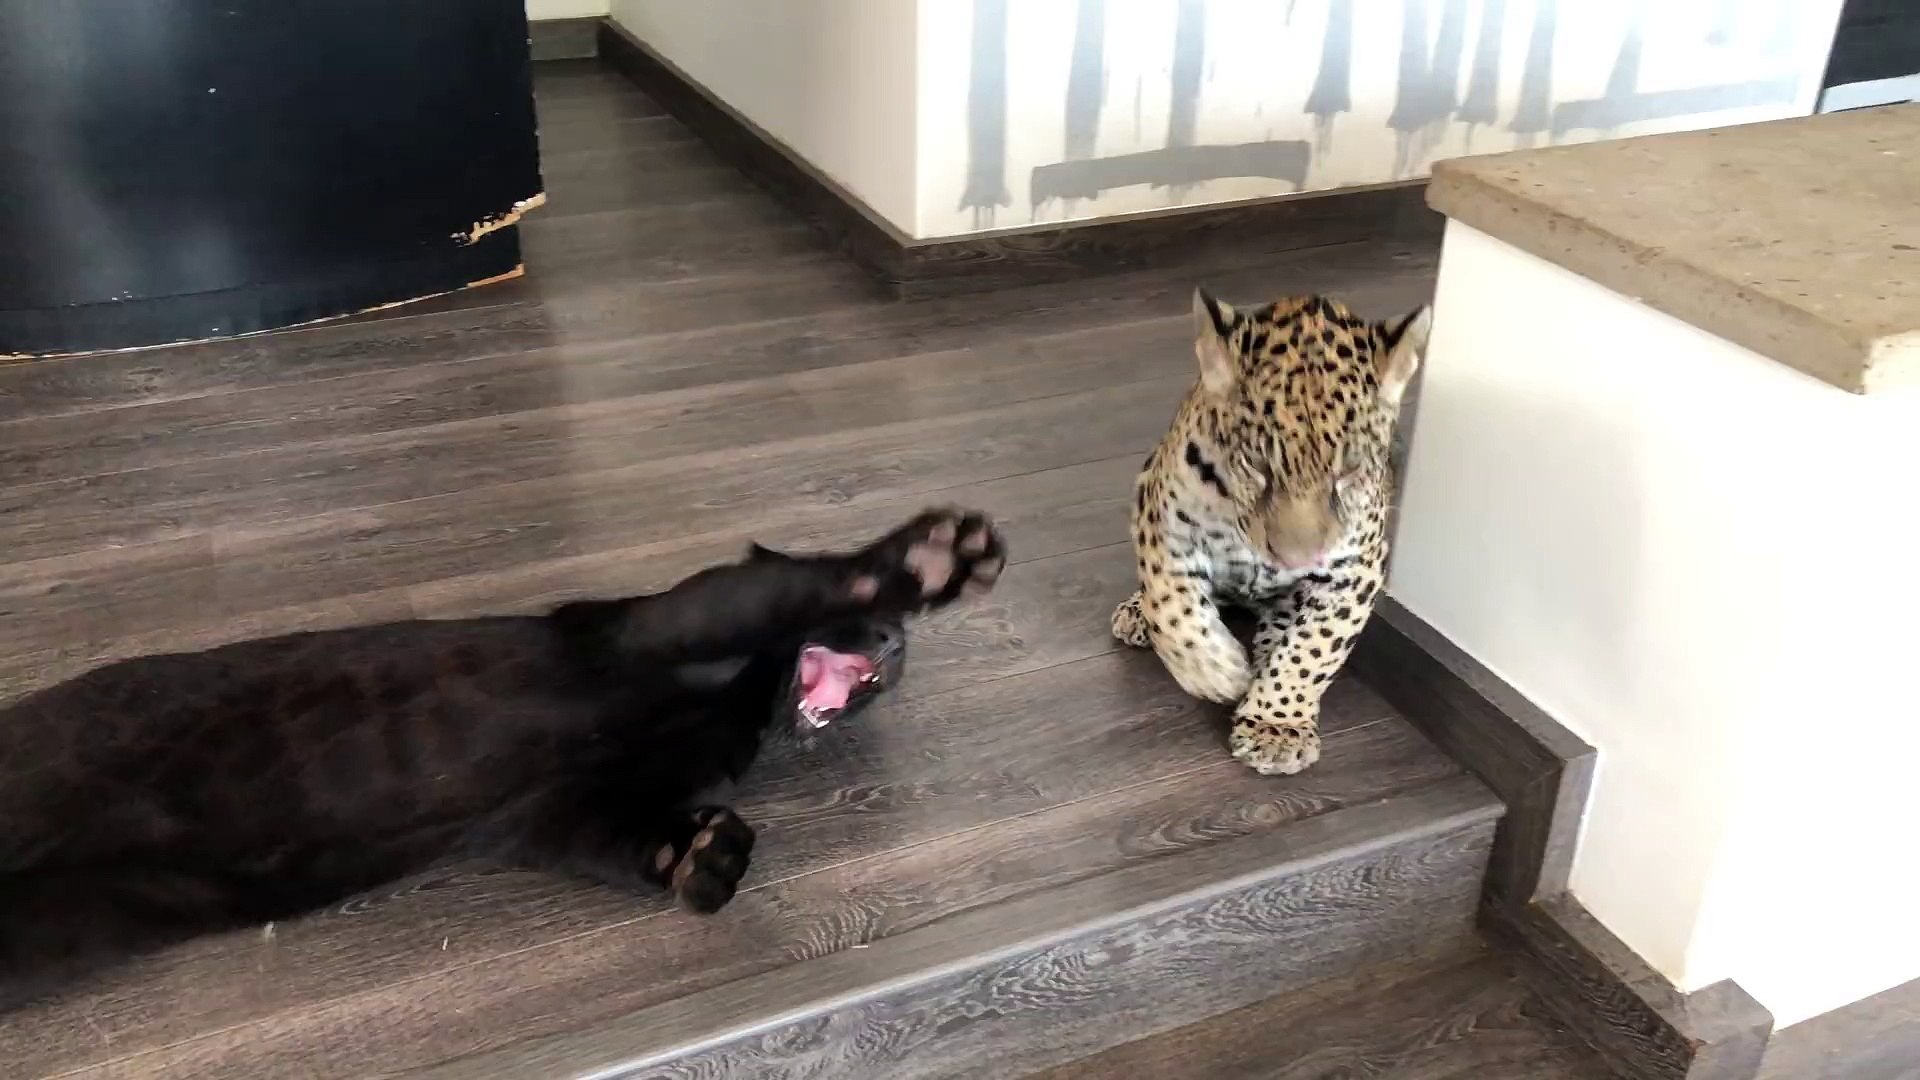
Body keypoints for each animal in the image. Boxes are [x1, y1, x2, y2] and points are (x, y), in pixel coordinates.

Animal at [1112, 288, 1430, 776]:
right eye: (1258, 465)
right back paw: (1136, 613)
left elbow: (1314, 648)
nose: (1297, 560)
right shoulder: (1161, 520)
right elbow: (1171, 606)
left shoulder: (1359, 567)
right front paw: (1217, 672)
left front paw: (1276, 726)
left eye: (1349, 470)